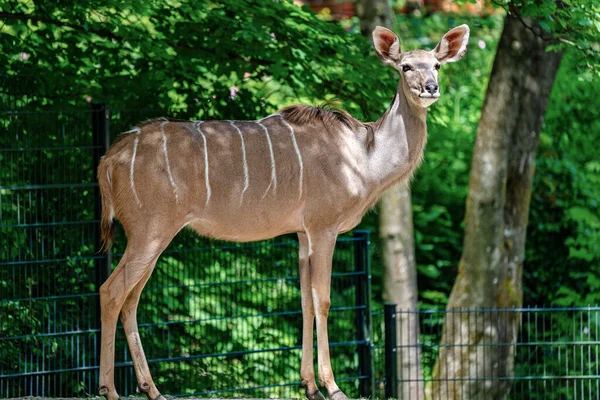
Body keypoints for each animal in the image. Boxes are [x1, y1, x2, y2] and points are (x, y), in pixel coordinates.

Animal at [96, 24, 468, 400]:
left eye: (437, 65)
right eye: (405, 66)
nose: (430, 88)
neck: (364, 156)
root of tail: (109, 159)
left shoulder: (302, 234)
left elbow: (304, 302)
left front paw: (310, 386)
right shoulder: (323, 227)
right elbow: (323, 300)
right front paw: (333, 387)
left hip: (152, 235)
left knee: (131, 297)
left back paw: (152, 389)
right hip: (150, 231)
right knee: (111, 291)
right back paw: (109, 389)